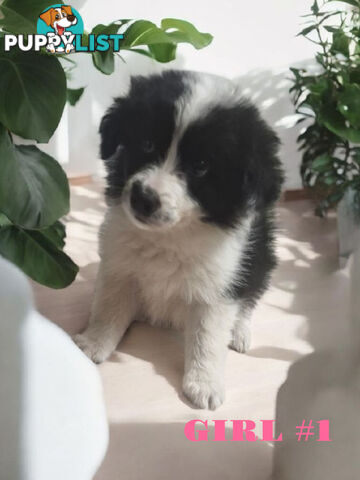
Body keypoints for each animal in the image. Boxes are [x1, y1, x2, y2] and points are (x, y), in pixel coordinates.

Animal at [75, 70, 284, 408]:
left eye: (201, 166)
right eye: (146, 143)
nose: (143, 198)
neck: (169, 236)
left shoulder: (219, 284)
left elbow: (207, 335)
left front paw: (204, 382)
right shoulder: (120, 264)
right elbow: (109, 307)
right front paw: (94, 343)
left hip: (263, 256)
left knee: (251, 295)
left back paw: (240, 331)